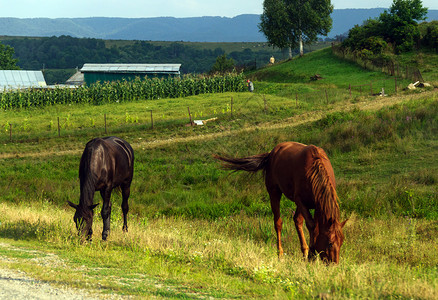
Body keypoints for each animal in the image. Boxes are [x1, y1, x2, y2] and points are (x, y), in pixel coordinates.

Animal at [214, 142, 348, 264]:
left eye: (341, 242)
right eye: (330, 243)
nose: (334, 264)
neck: (314, 172)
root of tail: (271, 153)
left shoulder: (317, 205)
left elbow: (313, 226)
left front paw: (311, 253)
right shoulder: (300, 201)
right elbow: (312, 226)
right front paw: (312, 255)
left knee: (297, 220)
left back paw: (304, 251)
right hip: (274, 192)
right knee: (278, 223)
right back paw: (281, 254)